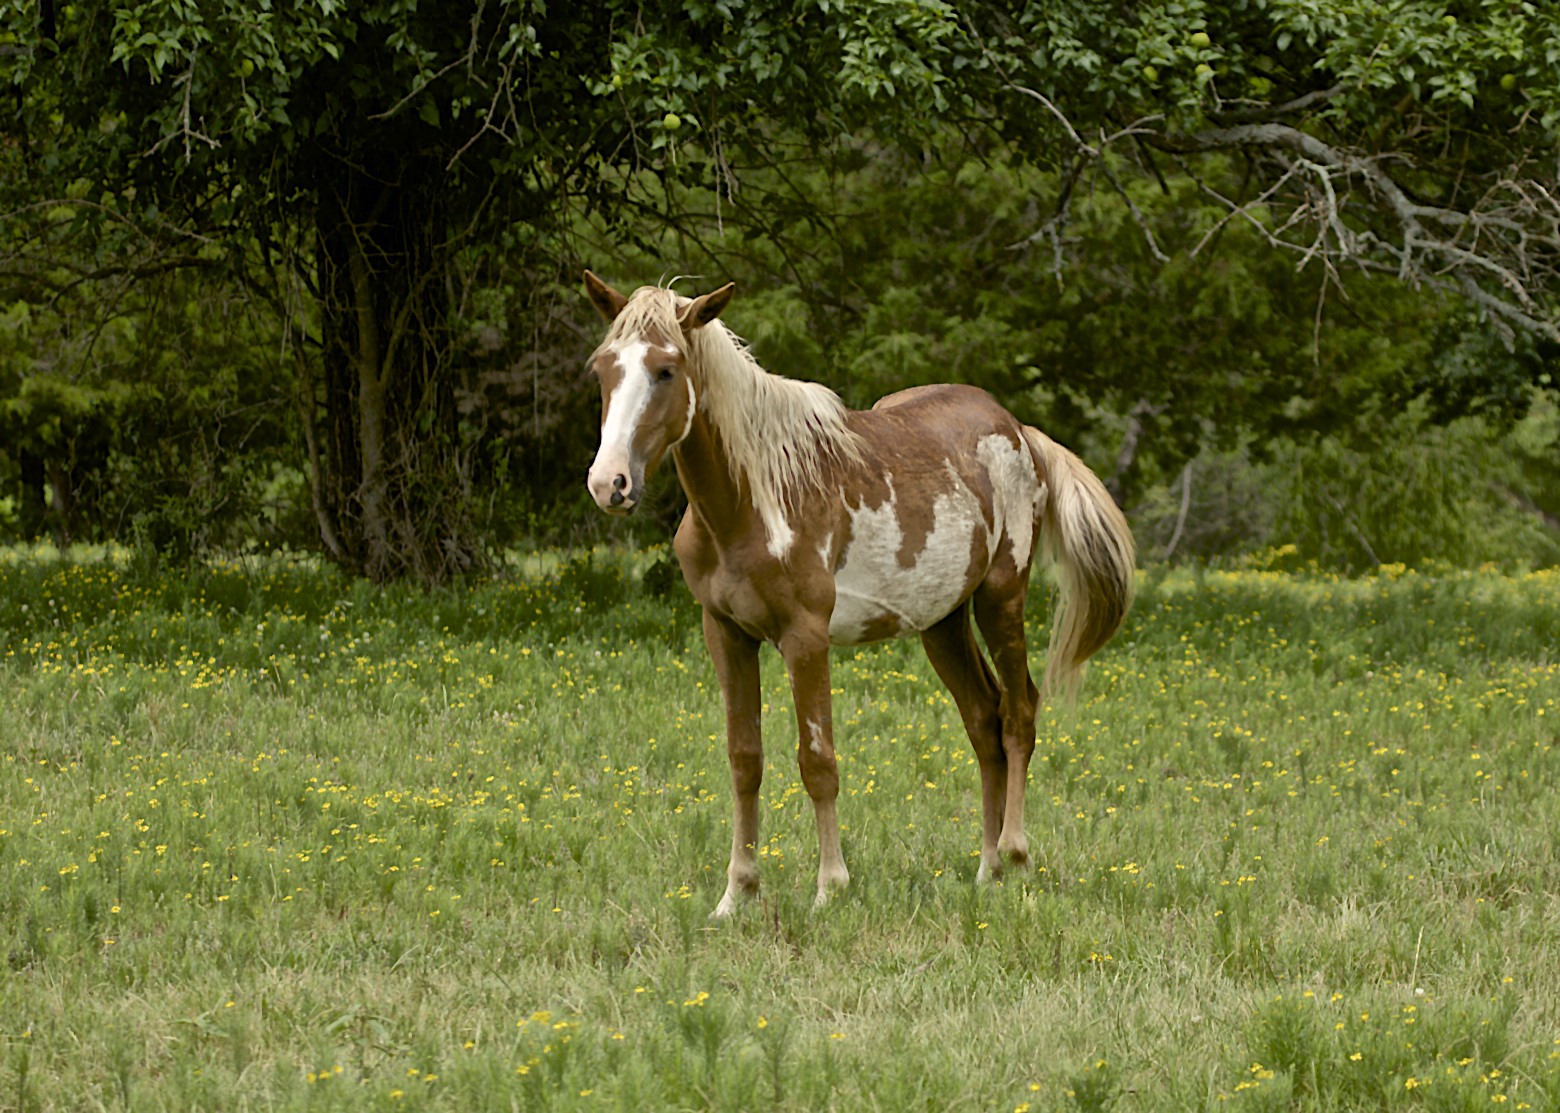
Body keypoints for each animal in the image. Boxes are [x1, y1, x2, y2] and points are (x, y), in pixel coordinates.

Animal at [581, 271, 1135, 916]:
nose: (610, 483)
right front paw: (736, 894)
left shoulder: (805, 638)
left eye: (667, 369)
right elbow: (745, 761)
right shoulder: (726, 633)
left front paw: (830, 888)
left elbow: (817, 761)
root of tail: (1017, 430)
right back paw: (987, 869)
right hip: (943, 623)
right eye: (603, 368)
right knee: (984, 722)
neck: (755, 497)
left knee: (1019, 712)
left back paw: (1015, 854)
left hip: (1002, 599)